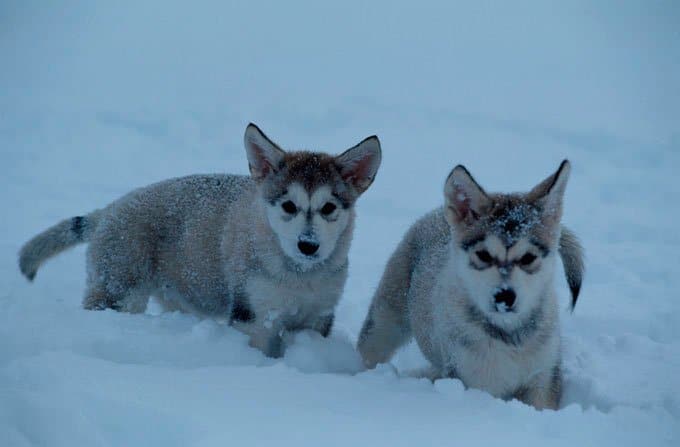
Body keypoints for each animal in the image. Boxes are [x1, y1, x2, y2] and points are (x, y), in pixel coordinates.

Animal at [19, 124, 382, 358]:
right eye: (289, 206)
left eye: (329, 207)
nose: (308, 245)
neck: (300, 276)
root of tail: (107, 212)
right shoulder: (255, 316)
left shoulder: (318, 315)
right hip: (118, 290)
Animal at [356, 161, 584, 410]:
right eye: (483, 255)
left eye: (528, 258)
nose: (504, 296)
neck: (509, 336)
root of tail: (438, 212)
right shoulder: (475, 380)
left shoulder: (543, 377)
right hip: (387, 317)